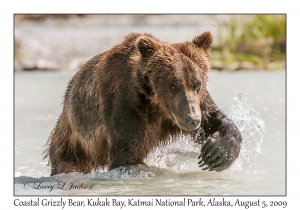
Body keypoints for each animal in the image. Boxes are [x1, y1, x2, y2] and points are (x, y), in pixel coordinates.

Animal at [43, 31, 243, 176]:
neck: (157, 104)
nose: (192, 119)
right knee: (66, 162)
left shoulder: (195, 103)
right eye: (173, 84)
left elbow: (213, 117)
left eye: (197, 83)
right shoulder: (124, 105)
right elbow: (126, 155)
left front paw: (217, 152)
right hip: (73, 139)